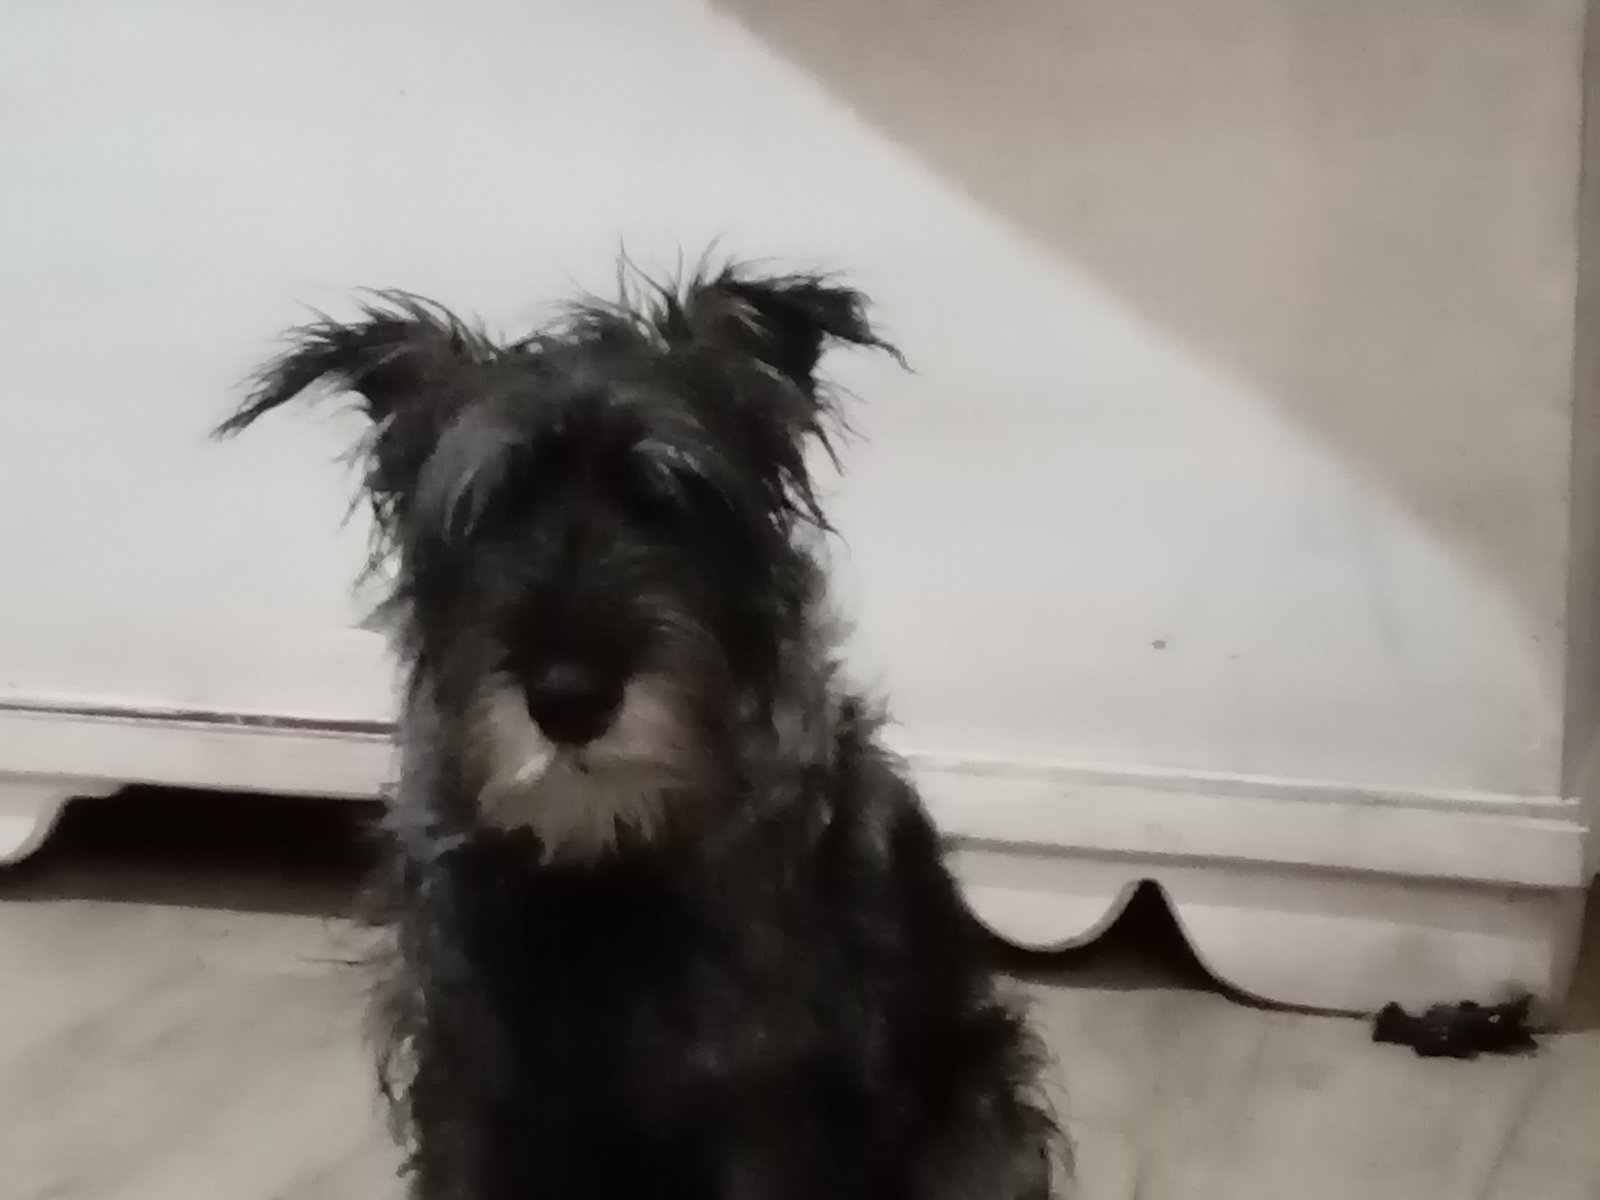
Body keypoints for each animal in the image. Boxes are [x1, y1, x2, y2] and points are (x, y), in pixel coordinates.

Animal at [217, 262, 1064, 1199]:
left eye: (672, 500)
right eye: (488, 511)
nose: (569, 698)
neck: (604, 863)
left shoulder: (764, 1112)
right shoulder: (469, 1089)